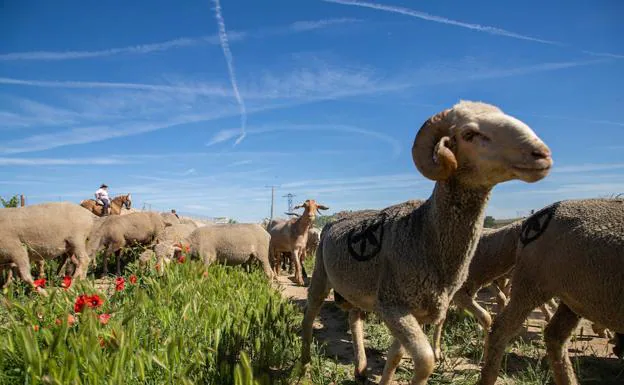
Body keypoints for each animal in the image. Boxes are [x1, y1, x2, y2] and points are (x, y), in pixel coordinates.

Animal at [302, 100, 552, 382]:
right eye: (469, 134)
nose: (541, 154)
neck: (423, 234)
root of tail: (337, 218)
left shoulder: (420, 311)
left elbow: (396, 356)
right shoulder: (393, 305)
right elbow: (425, 360)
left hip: (357, 289)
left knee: (354, 318)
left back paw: (361, 367)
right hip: (321, 274)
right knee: (309, 316)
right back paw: (304, 366)